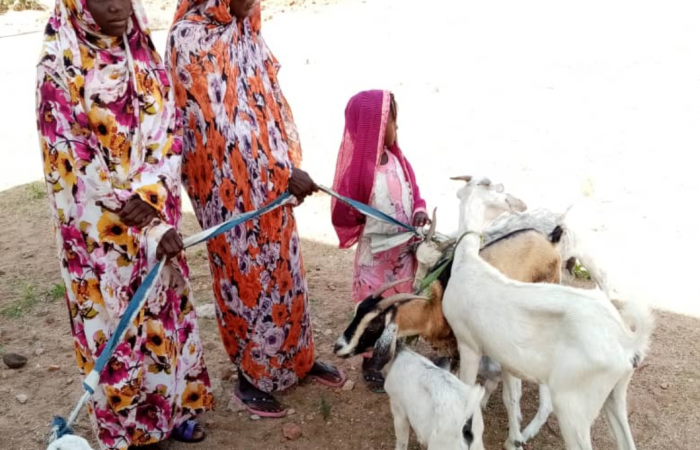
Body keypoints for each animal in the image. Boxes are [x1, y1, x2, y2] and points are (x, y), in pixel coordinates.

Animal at [446, 176, 652, 450]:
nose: (520, 204)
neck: (467, 262)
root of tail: (628, 341)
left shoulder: (468, 344)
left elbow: (467, 390)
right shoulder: (506, 358)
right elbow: (511, 398)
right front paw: (514, 439)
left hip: (573, 406)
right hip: (615, 394)